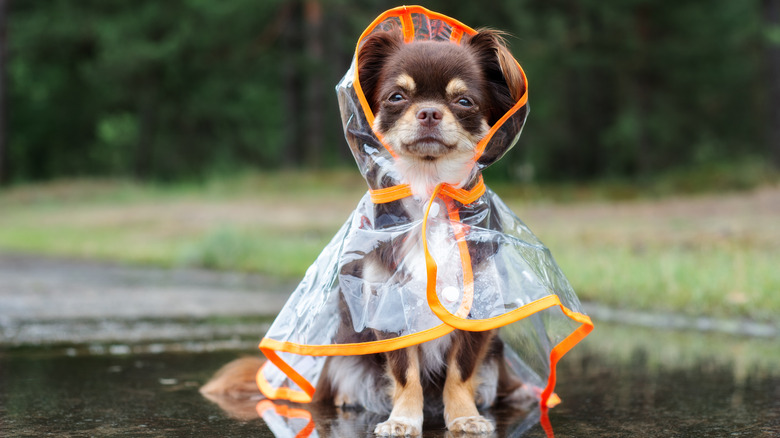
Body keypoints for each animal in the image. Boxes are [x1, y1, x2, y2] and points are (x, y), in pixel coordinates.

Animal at [201, 27, 532, 434]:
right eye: (397, 97)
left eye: (464, 101)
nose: (429, 112)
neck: (428, 192)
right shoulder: (388, 308)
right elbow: (405, 373)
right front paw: (403, 420)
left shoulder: (478, 310)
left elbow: (459, 373)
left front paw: (464, 416)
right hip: (343, 360)